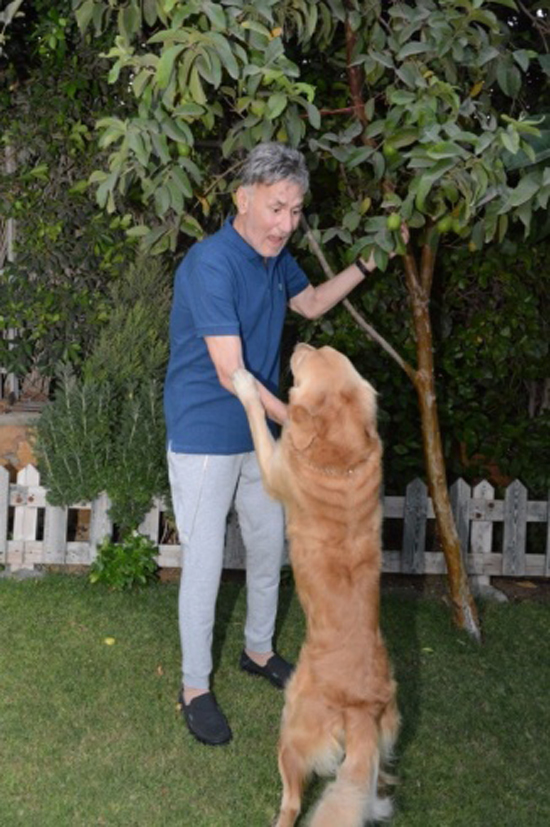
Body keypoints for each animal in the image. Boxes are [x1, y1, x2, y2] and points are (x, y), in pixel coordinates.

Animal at [232, 344, 400, 827]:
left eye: (309, 363)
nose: (302, 345)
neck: (343, 458)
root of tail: (362, 708)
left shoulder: (273, 467)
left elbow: (262, 414)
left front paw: (247, 383)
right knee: (372, 785)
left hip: (292, 729)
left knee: (291, 802)